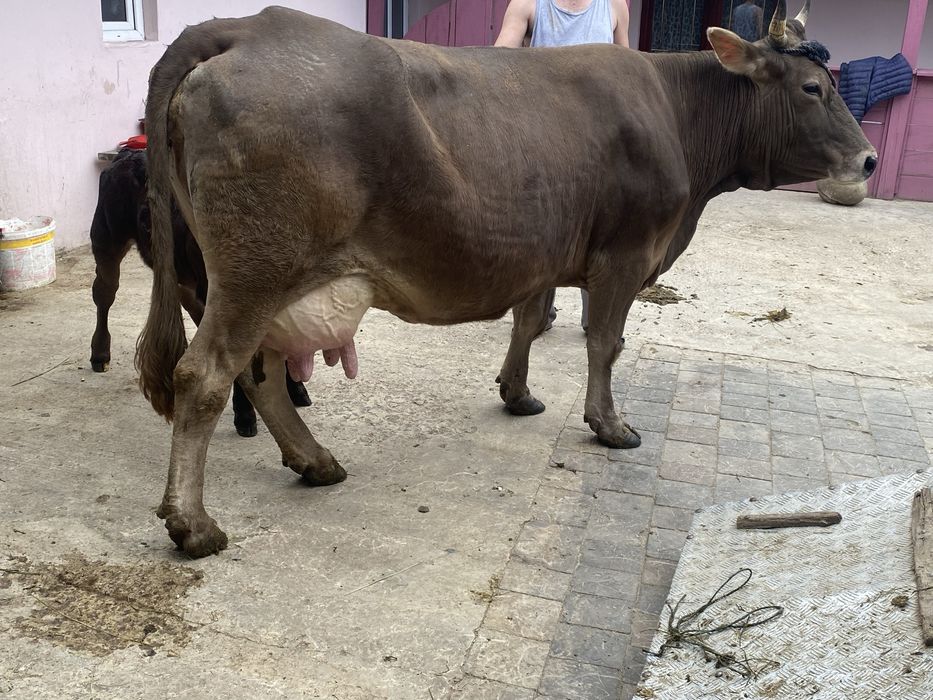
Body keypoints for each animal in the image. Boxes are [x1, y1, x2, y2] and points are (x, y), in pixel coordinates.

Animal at [88, 148, 311, 437]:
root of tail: (127, 154)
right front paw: (245, 415)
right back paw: (100, 354)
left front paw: (295, 390)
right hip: (106, 240)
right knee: (104, 293)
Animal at [136, 2, 876, 556]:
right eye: (812, 88)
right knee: (206, 375)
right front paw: (610, 424)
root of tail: (251, 25)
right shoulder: (625, 252)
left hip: (249, 279)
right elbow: (604, 342)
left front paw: (517, 393)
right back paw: (193, 525)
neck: (676, 112)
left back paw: (314, 461)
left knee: (257, 375)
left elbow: (528, 318)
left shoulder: (545, 249)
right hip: (256, 272)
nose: (868, 159)